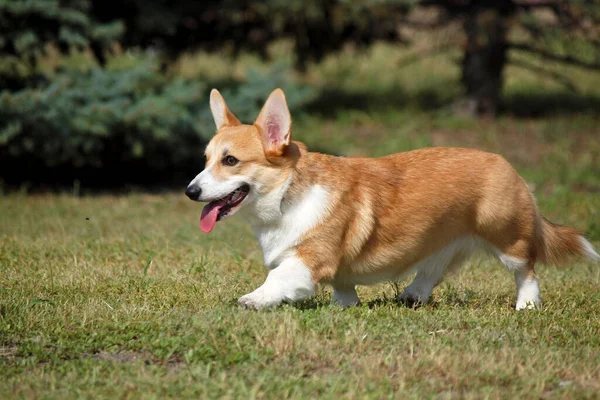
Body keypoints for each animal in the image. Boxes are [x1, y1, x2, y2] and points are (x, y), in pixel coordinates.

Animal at [185, 89, 596, 310]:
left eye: (230, 160)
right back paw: (413, 295)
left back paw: (526, 304)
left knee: (526, 269)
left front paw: (253, 299)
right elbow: (343, 289)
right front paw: (345, 306)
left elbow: (278, 278)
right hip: (443, 235)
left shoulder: (308, 261)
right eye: (205, 159)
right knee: (435, 266)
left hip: (507, 234)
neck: (286, 195)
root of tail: (508, 166)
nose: (190, 192)